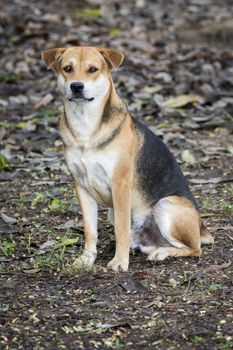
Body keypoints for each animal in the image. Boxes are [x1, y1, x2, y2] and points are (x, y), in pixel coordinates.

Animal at [41, 45, 213, 270]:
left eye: (92, 69)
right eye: (67, 68)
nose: (76, 86)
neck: (86, 126)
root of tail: (201, 227)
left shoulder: (120, 184)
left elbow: (121, 229)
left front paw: (120, 262)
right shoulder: (81, 186)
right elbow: (90, 230)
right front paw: (87, 258)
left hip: (165, 205)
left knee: (194, 249)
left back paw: (162, 252)